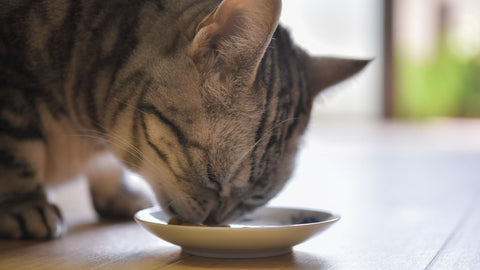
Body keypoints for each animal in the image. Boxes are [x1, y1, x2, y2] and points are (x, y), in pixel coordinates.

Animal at [0, 0, 368, 240]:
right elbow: (17, 154)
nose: (214, 222)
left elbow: (106, 169)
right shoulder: (12, 91)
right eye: (214, 179)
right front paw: (25, 205)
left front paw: (117, 194)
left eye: (253, 201)